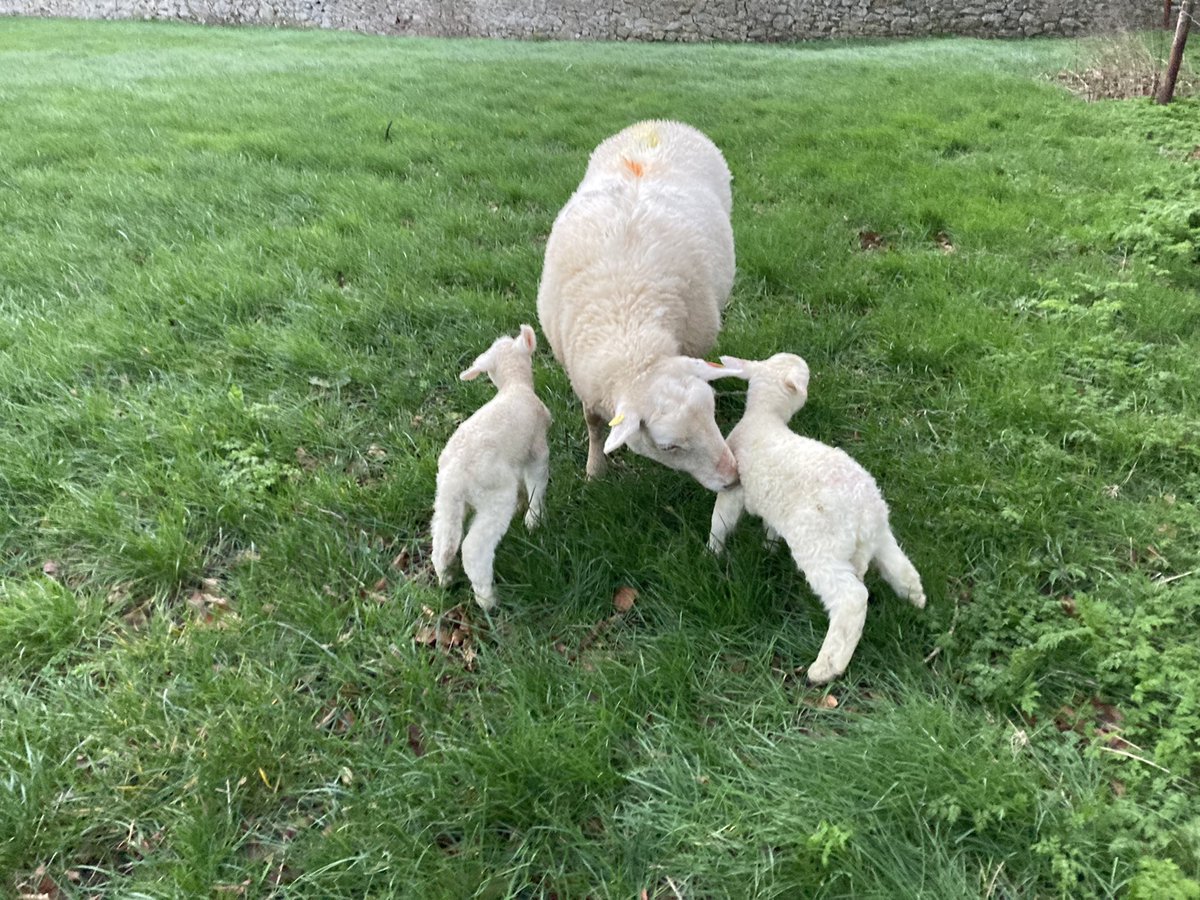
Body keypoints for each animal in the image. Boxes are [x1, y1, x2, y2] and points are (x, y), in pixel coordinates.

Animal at [431, 324, 551, 611]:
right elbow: (537, 482)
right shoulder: (537, 449)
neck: (513, 385)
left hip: (446, 501)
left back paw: (445, 578)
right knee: (473, 548)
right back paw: (488, 599)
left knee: (443, 540)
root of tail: (455, 478)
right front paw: (534, 518)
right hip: (494, 495)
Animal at [536, 119, 738, 491]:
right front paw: (595, 469)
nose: (733, 476)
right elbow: (593, 424)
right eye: (669, 446)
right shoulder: (587, 381)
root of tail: (660, 123)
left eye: (713, 413)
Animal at [707, 353, 926, 683]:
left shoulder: (734, 489)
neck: (764, 418)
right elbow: (770, 528)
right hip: (880, 534)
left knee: (852, 599)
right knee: (898, 565)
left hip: (822, 548)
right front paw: (768, 547)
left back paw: (826, 668)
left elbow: (721, 520)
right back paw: (916, 598)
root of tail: (865, 513)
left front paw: (713, 552)